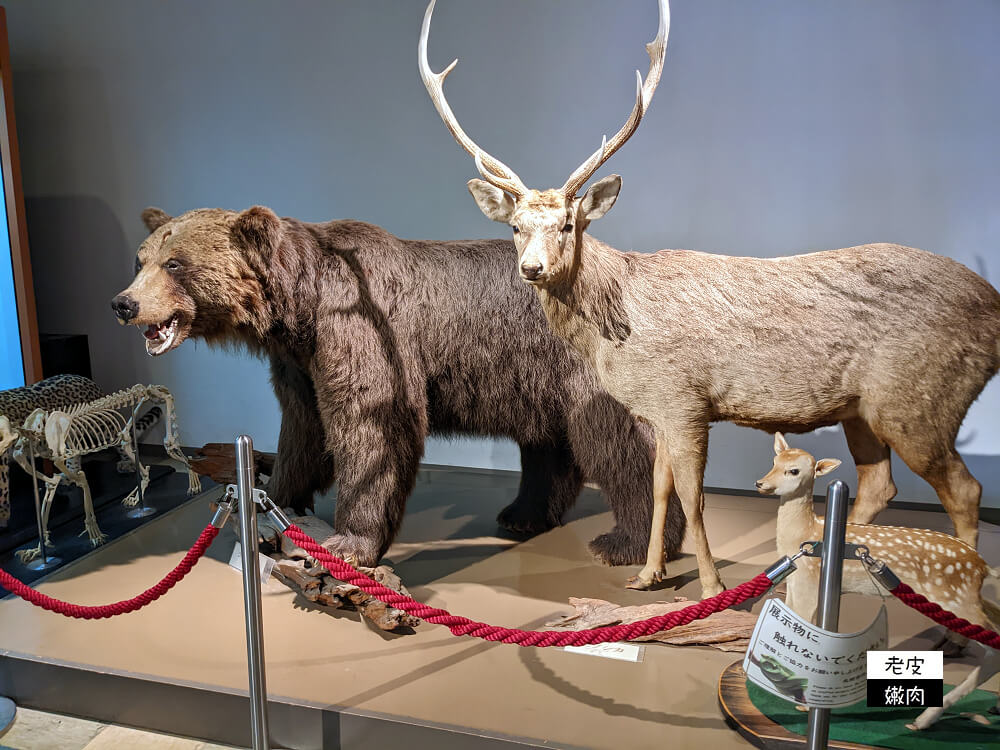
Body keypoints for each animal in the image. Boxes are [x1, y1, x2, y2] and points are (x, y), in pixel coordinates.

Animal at [111, 203, 688, 568]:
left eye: (175, 263)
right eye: (140, 259)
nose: (123, 303)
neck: (299, 307)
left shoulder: (364, 331)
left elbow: (374, 425)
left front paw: (348, 543)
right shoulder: (300, 363)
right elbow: (303, 430)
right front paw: (275, 506)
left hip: (583, 362)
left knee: (618, 441)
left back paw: (632, 542)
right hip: (533, 376)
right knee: (548, 444)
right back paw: (523, 515)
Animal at [420, 0, 1000, 600]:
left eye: (567, 224)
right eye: (515, 227)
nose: (531, 268)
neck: (619, 326)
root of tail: (994, 306)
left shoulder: (687, 400)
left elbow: (693, 495)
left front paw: (710, 585)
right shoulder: (658, 408)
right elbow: (660, 488)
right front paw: (648, 576)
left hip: (919, 399)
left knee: (965, 489)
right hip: (863, 409)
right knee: (878, 482)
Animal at [756, 432, 1000, 732]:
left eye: (794, 470)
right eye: (774, 461)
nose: (761, 483)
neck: (807, 533)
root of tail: (982, 566)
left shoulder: (810, 584)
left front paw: (804, 703)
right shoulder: (797, 583)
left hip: (954, 599)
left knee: (994, 649)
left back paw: (922, 720)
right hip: (968, 598)